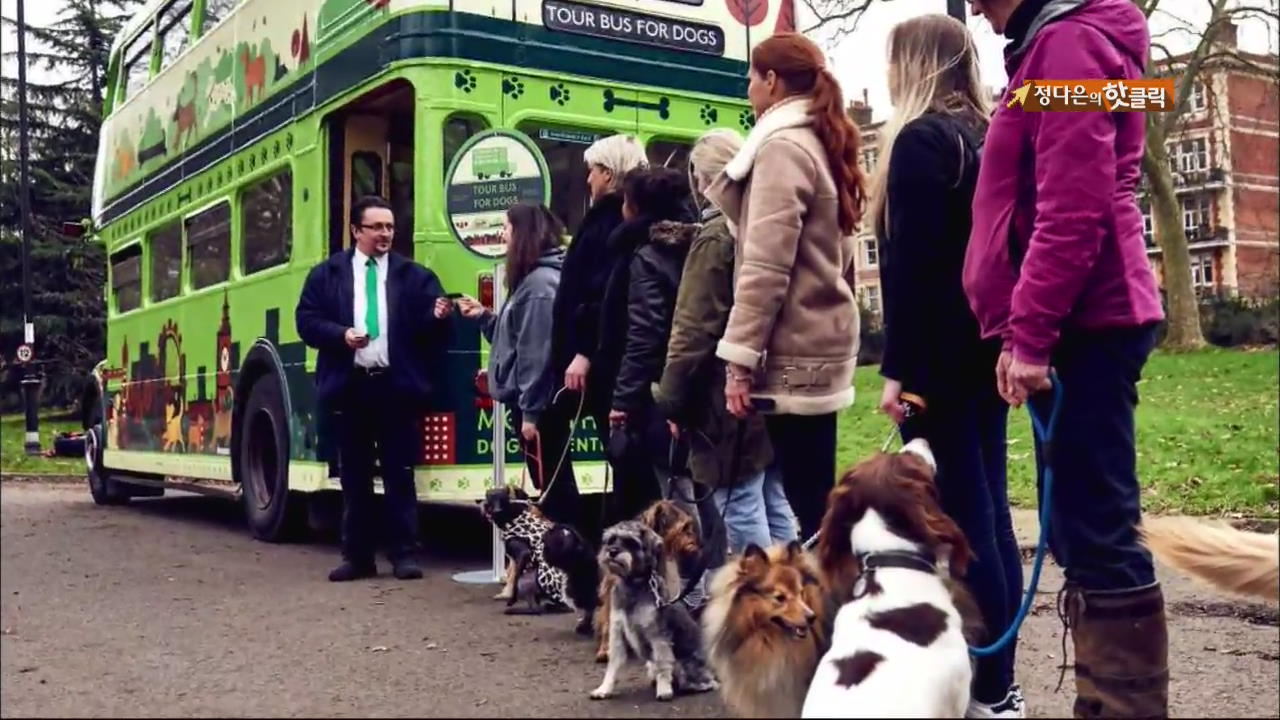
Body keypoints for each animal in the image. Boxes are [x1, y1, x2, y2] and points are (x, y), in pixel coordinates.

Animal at [588, 517, 721, 696]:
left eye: (631, 542)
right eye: (611, 539)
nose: (612, 551)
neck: (633, 585)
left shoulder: (657, 634)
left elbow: (663, 663)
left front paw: (664, 690)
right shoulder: (617, 632)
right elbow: (613, 665)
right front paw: (603, 689)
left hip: (687, 664)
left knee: (703, 680)